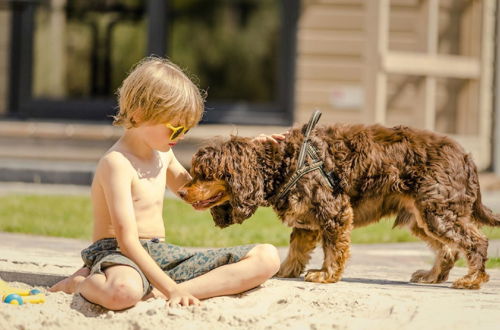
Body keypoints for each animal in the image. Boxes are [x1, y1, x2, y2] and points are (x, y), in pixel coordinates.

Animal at [178, 123, 498, 288]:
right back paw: (433, 276)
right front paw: (286, 270)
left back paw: (472, 279)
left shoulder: (334, 211)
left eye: (206, 173)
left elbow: (334, 249)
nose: (180, 191)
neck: (284, 162)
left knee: (476, 242)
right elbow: (296, 250)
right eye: (195, 171)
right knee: (449, 249)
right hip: (422, 216)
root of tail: (466, 157)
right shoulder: (306, 220)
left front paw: (326, 275)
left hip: (437, 212)